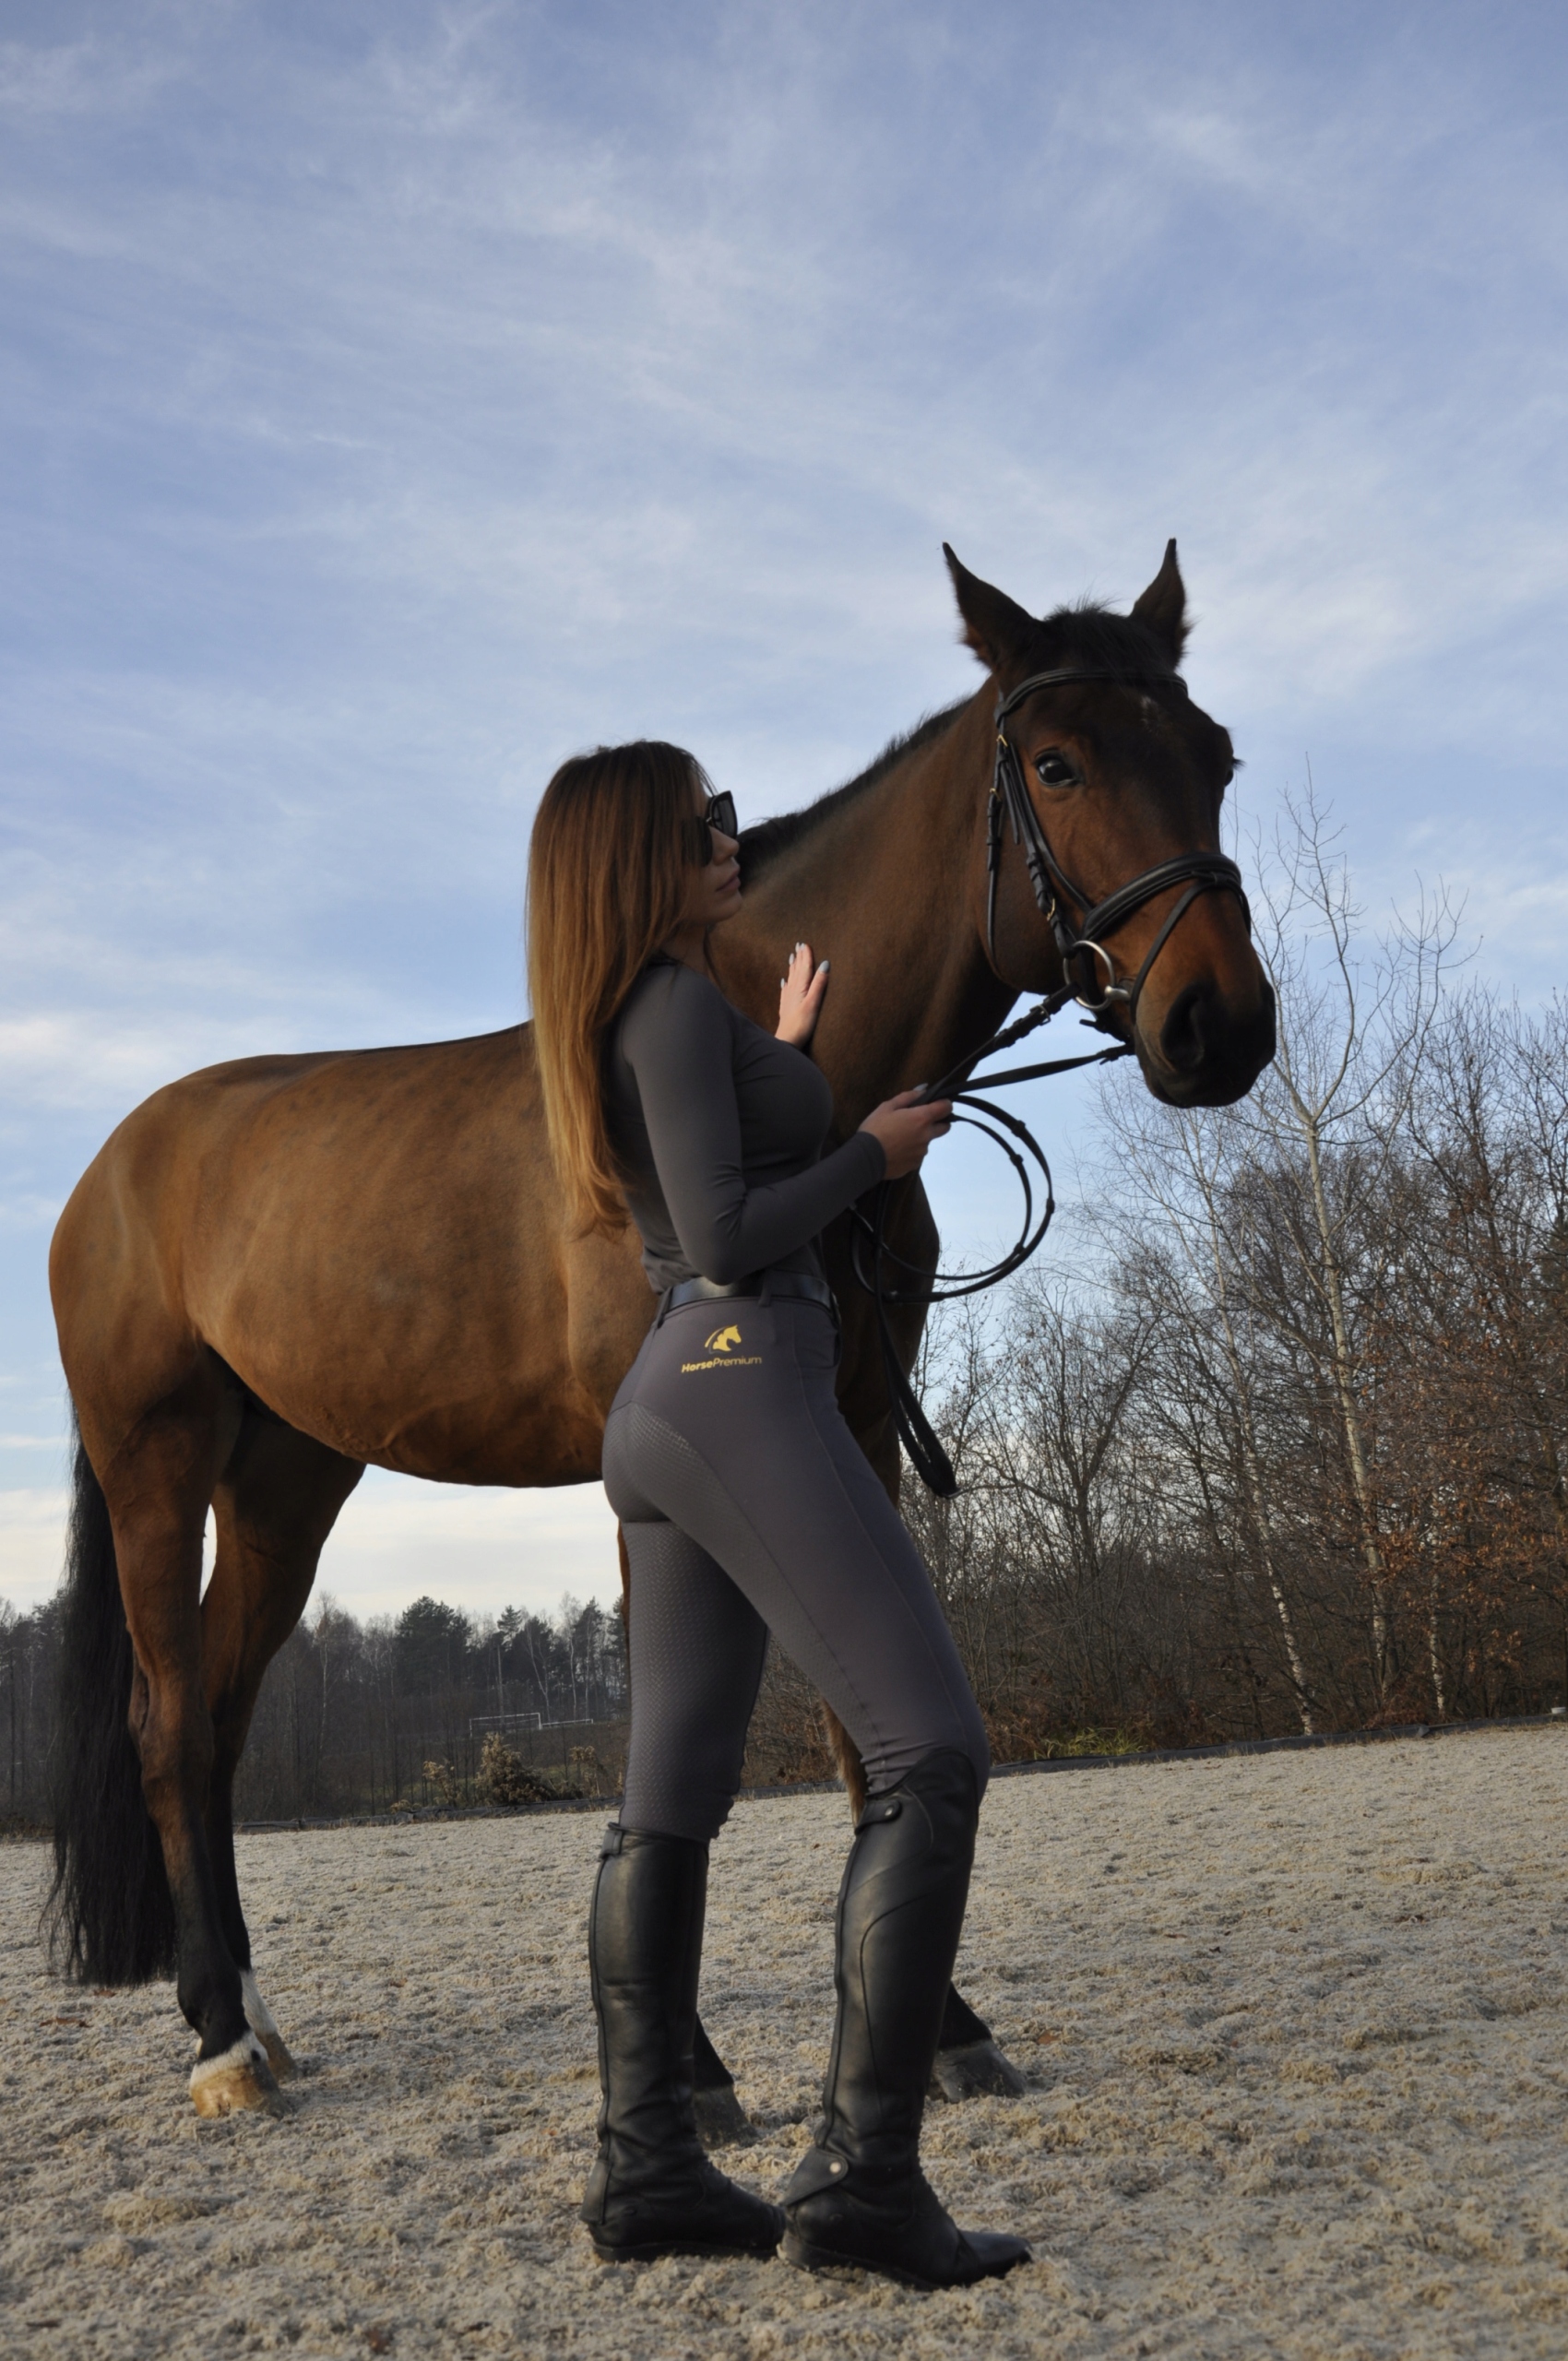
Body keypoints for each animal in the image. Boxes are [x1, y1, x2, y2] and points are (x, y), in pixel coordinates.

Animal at [46, 542, 1275, 2121]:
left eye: (1214, 756)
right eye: (1057, 762)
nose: (1218, 1025)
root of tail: (115, 1165)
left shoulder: (853, 1426)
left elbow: (852, 1702)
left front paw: (937, 2028)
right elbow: (674, 1741)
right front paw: (690, 2065)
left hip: (286, 1484)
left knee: (214, 1729)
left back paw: (258, 2021)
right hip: (157, 1465)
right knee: (166, 1730)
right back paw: (219, 2045)